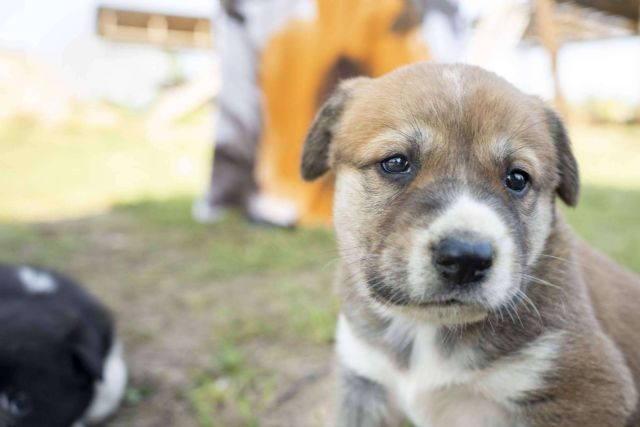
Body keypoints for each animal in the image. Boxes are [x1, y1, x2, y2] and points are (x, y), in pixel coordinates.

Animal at [302, 62, 640, 427]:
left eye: (517, 178)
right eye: (395, 162)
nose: (466, 259)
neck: (427, 327)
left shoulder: (583, 389)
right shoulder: (361, 383)